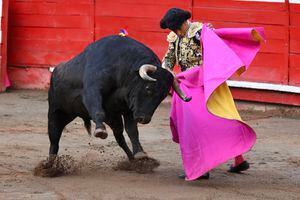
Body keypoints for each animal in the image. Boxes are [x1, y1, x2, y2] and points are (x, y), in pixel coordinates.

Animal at [49, 35, 190, 161]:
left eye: (163, 96)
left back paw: (132, 158)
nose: (144, 119)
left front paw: (140, 153)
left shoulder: (128, 108)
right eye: (148, 88)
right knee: (54, 138)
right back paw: (51, 163)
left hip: (113, 117)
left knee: (119, 136)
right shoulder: (92, 90)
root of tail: (56, 69)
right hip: (56, 112)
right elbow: (97, 109)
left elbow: (132, 130)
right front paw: (100, 130)